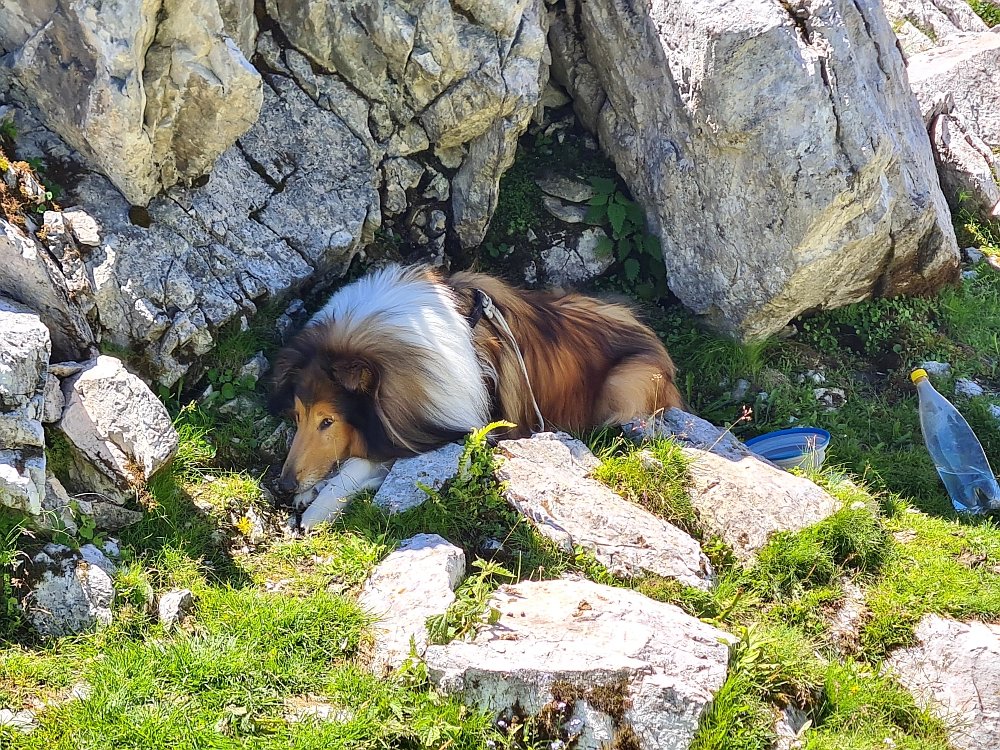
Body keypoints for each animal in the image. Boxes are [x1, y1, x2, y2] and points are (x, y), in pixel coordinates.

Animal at [270, 264, 684, 528]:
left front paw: (318, 507)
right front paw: (312, 489)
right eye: (297, 416)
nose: (284, 485)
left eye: (328, 421)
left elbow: (362, 462)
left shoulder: (451, 429)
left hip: (623, 387)